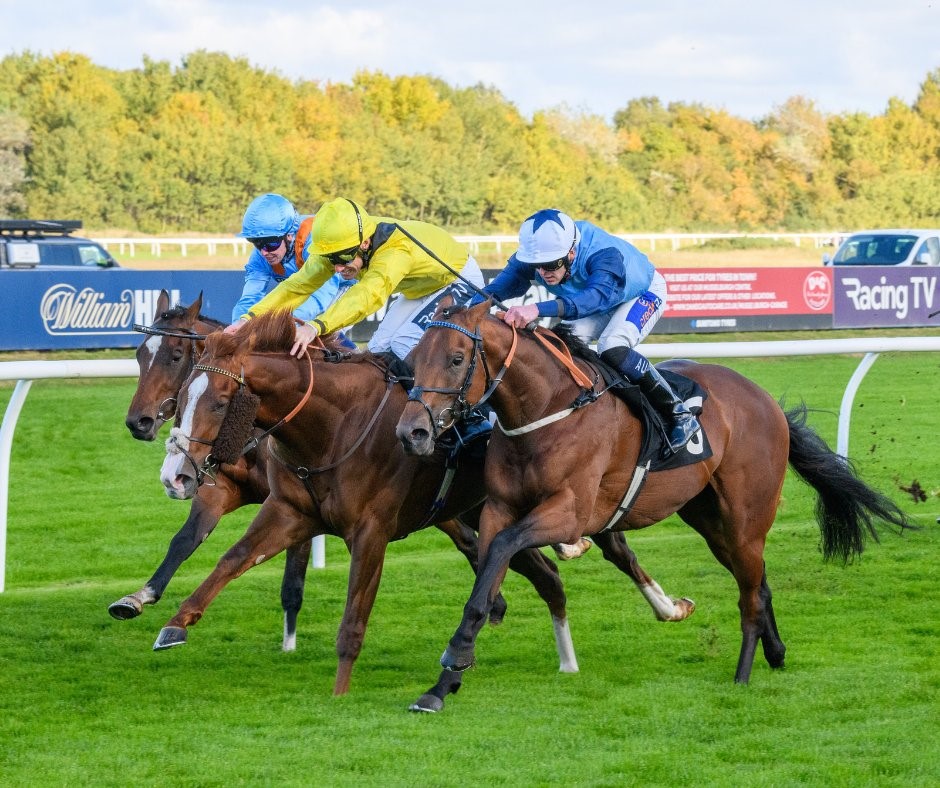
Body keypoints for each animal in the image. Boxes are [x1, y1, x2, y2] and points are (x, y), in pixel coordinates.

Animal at [113, 292, 496, 656]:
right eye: (139, 355)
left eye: (176, 355)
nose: (137, 422)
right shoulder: (238, 491)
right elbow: (195, 542)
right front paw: (140, 599)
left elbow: (293, 580)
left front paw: (289, 640)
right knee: (464, 536)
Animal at [154, 310, 576, 700]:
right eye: (184, 398)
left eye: (220, 403)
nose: (174, 476)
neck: (334, 429)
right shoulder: (289, 511)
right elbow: (232, 559)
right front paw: (173, 624)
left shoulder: (371, 531)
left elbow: (353, 620)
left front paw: (340, 695)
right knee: (542, 572)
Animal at [398, 298, 916, 692]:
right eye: (414, 360)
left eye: (457, 359)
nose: (412, 432)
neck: (546, 409)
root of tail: (764, 398)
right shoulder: (499, 508)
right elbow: (488, 567)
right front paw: (453, 665)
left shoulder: (570, 513)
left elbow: (506, 549)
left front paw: (457, 656)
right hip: (709, 518)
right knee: (757, 581)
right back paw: (775, 651)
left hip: (747, 516)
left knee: (749, 595)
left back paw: (743, 673)